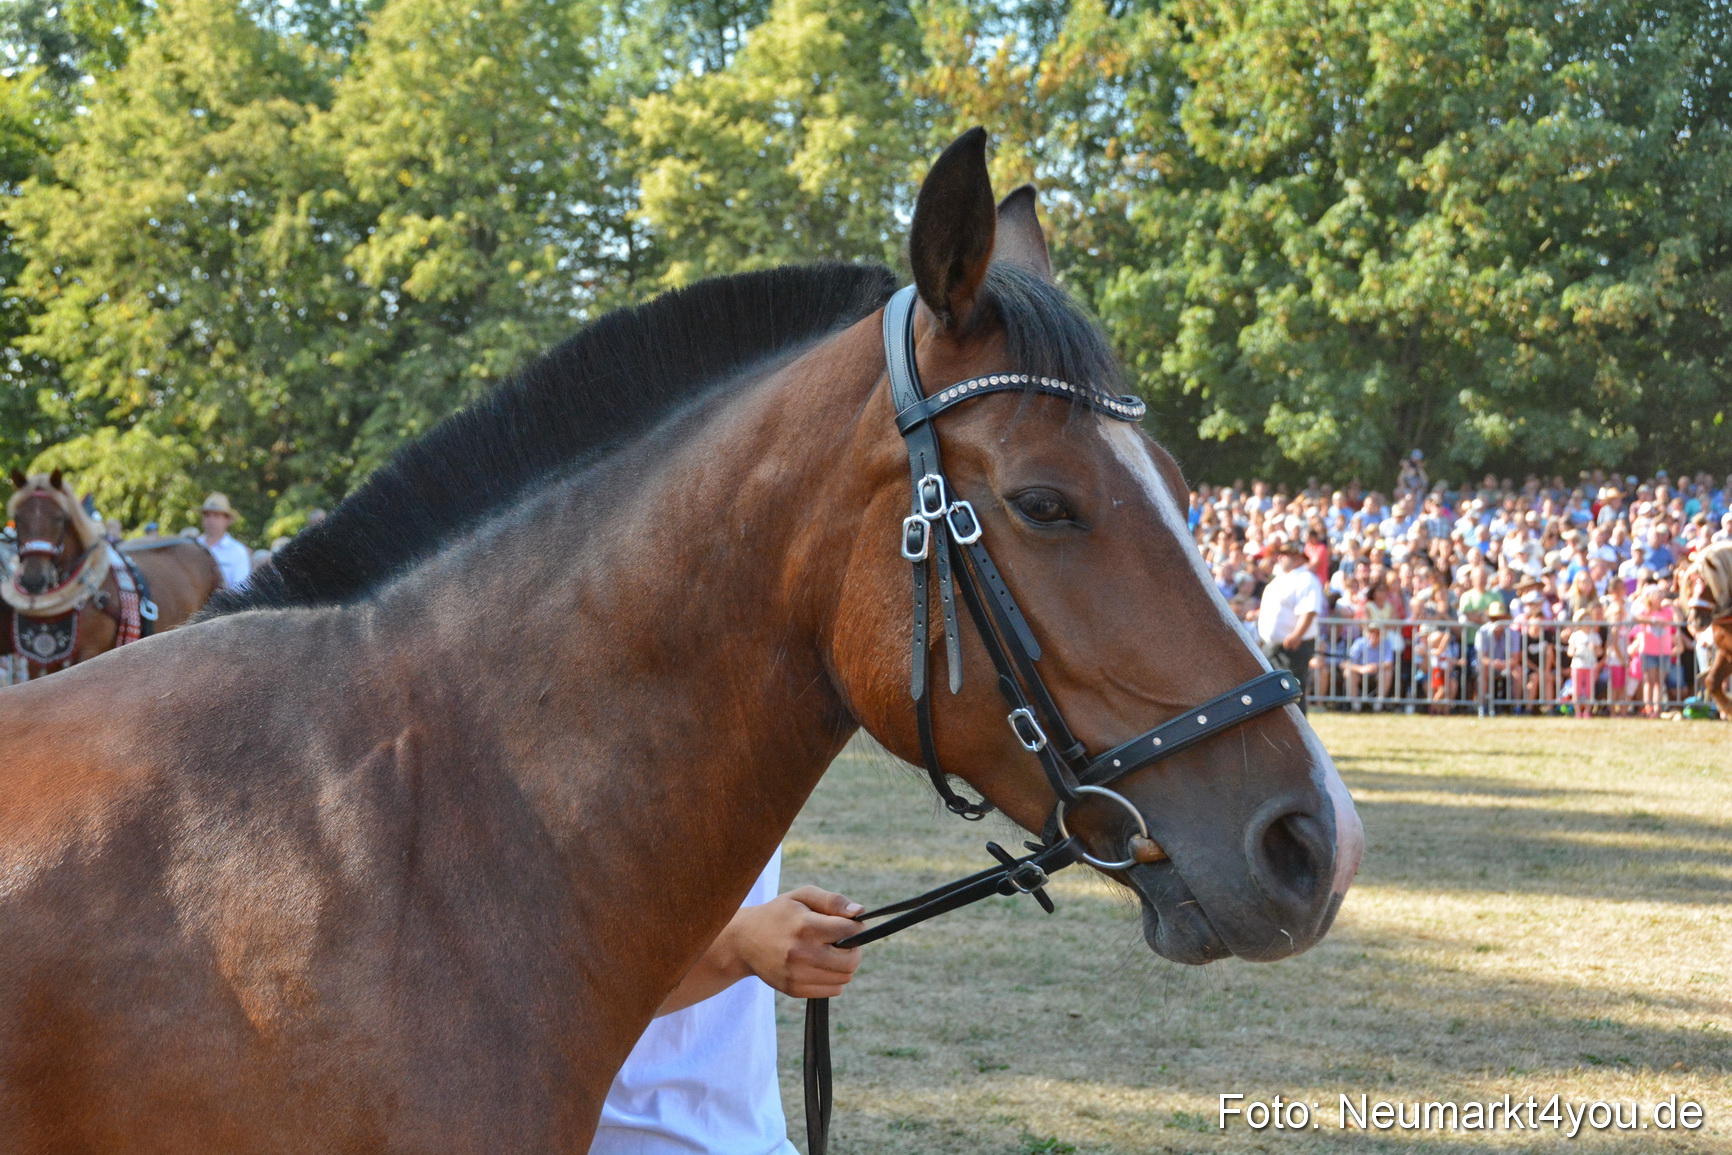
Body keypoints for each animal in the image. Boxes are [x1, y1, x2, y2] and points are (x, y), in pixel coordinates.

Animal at [4, 470, 222, 673]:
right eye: (18, 518)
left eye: (59, 518)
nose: (33, 580)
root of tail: (197, 543)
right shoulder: (36, 661)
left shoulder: (90, 652)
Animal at [1682, 540, 1732, 720]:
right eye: (1691, 584)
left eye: (1708, 586)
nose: (1695, 620)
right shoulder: (1726, 652)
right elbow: (1712, 681)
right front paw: (1728, 707)